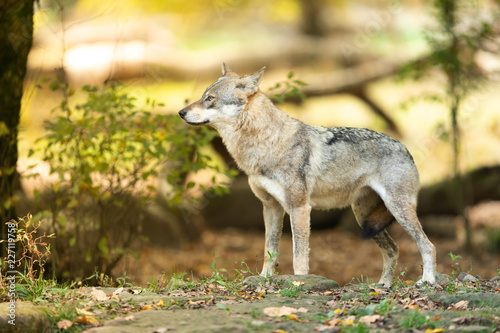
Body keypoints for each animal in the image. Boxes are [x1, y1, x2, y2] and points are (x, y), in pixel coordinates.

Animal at [178, 63, 436, 286]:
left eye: (210, 99)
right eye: (203, 95)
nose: (180, 112)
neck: (267, 143)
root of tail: (406, 148)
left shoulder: (299, 208)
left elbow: (299, 255)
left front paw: (300, 283)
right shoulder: (271, 208)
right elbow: (269, 251)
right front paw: (264, 280)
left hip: (397, 209)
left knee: (427, 246)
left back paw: (427, 282)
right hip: (364, 218)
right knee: (393, 250)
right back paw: (383, 286)